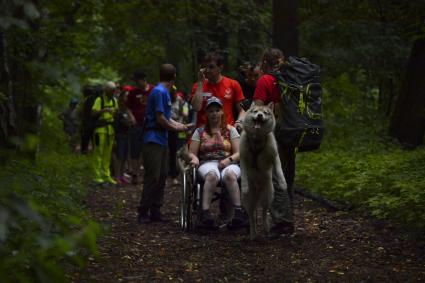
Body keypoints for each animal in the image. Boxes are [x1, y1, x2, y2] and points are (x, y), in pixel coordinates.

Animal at [240, 103, 286, 241]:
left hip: (268, 196)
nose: (260, 115)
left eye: (265, 113)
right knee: (251, 217)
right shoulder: (243, 157)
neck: (257, 139)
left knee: (264, 212)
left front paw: (283, 183)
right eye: (255, 111)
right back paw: (253, 233)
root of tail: (257, 190)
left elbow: (279, 170)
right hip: (249, 201)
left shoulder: (274, 155)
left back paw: (266, 228)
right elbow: (244, 173)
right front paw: (244, 185)